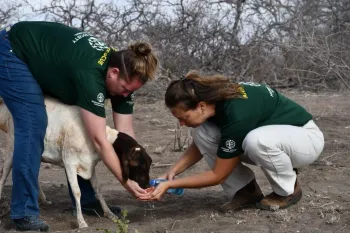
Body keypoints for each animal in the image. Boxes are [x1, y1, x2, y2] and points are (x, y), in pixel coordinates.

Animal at [0, 96, 153, 228]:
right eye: (140, 167)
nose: (147, 185)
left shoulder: (90, 165)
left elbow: (97, 189)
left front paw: (109, 213)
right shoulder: (70, 163)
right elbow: (77, 191)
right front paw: (81, 222)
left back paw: (43, 199)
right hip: (12, 148)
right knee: (4, 175)